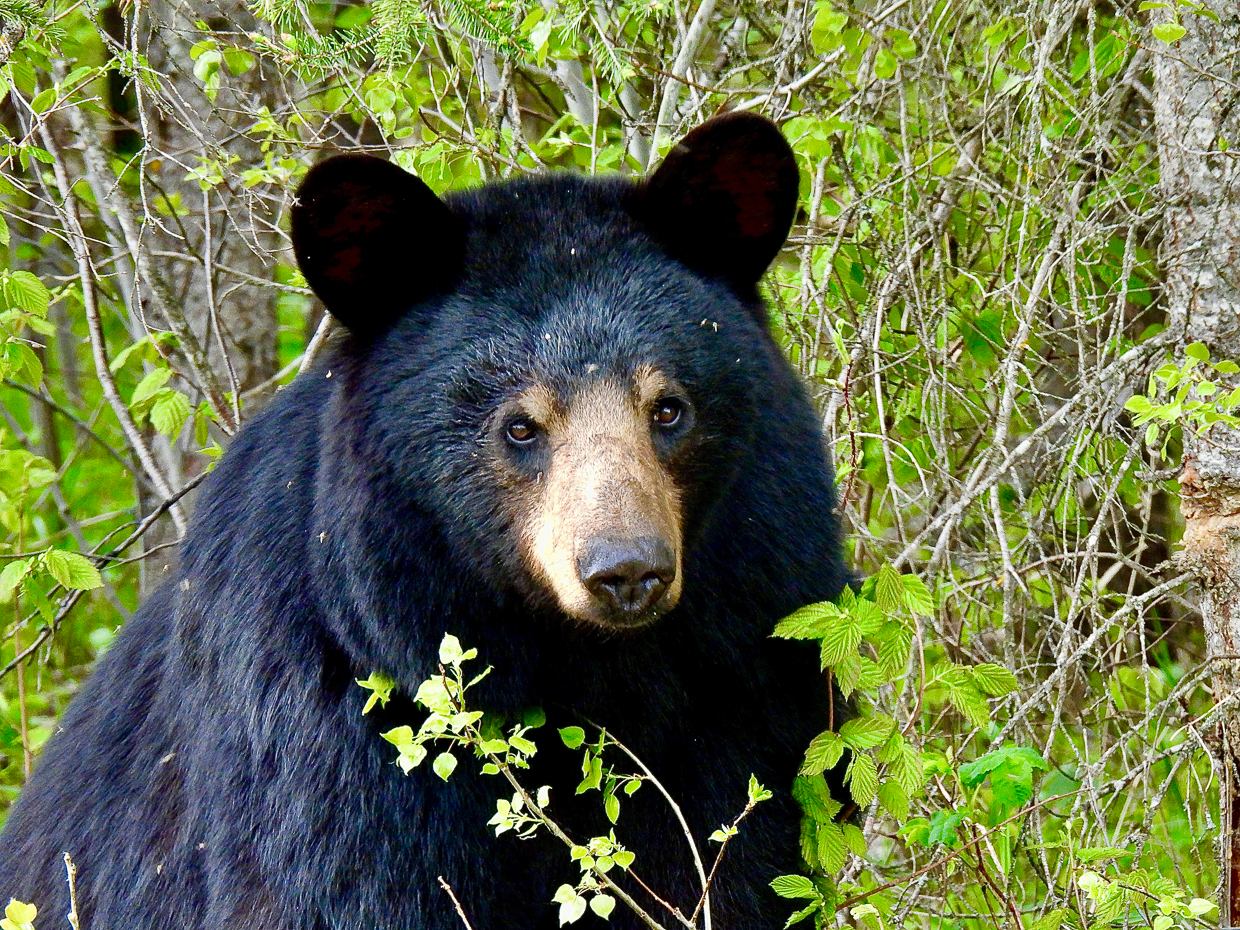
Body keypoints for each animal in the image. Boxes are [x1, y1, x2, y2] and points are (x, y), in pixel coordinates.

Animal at [0, 112, 848, 930]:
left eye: (668, 409)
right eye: (519, 427)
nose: (626, 570)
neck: (589, 674)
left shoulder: (746, 691)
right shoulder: (333, 737)